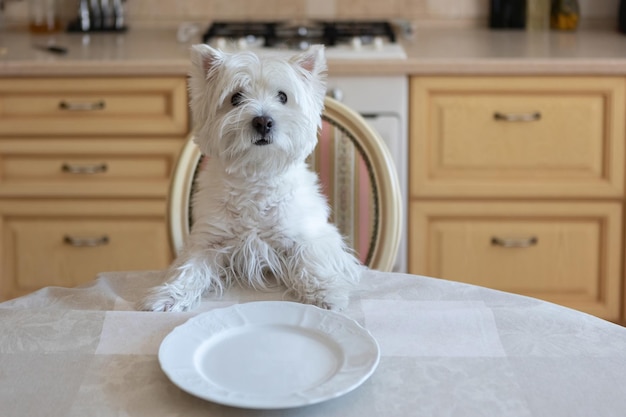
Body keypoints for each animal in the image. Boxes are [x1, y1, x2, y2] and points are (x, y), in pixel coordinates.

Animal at [136, 44, 360, 312]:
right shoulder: (209, 242)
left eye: (283, 97)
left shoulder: (307, 235)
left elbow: (311, 260)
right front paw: (168, 297)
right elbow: (189, 269)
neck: (256, 178)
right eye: (236, 98)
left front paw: (326, 294)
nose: (263, 121)